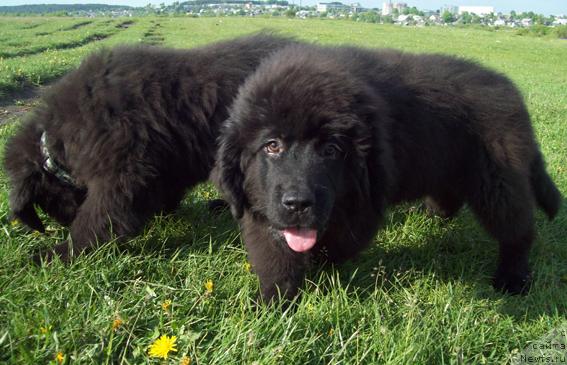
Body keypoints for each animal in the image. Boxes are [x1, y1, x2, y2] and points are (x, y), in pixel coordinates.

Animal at [4, 32, 296, 260]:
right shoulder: (163, 162)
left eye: (46, 201)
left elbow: (99, 214)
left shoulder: (123, 171)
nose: (65, 222)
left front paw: (62, 252)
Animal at [217, 43, 564, 298]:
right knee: (449, 197)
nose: (298, 204)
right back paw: (433, 217)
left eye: (331, 150)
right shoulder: (260, 203)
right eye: (272, 146)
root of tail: (511, 92)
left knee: (517, 230)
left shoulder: (364, 201)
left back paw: (513, 279)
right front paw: (274, 301)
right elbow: (274, 252)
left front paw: (315, 267)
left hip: (498, 182)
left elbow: (336, 245)